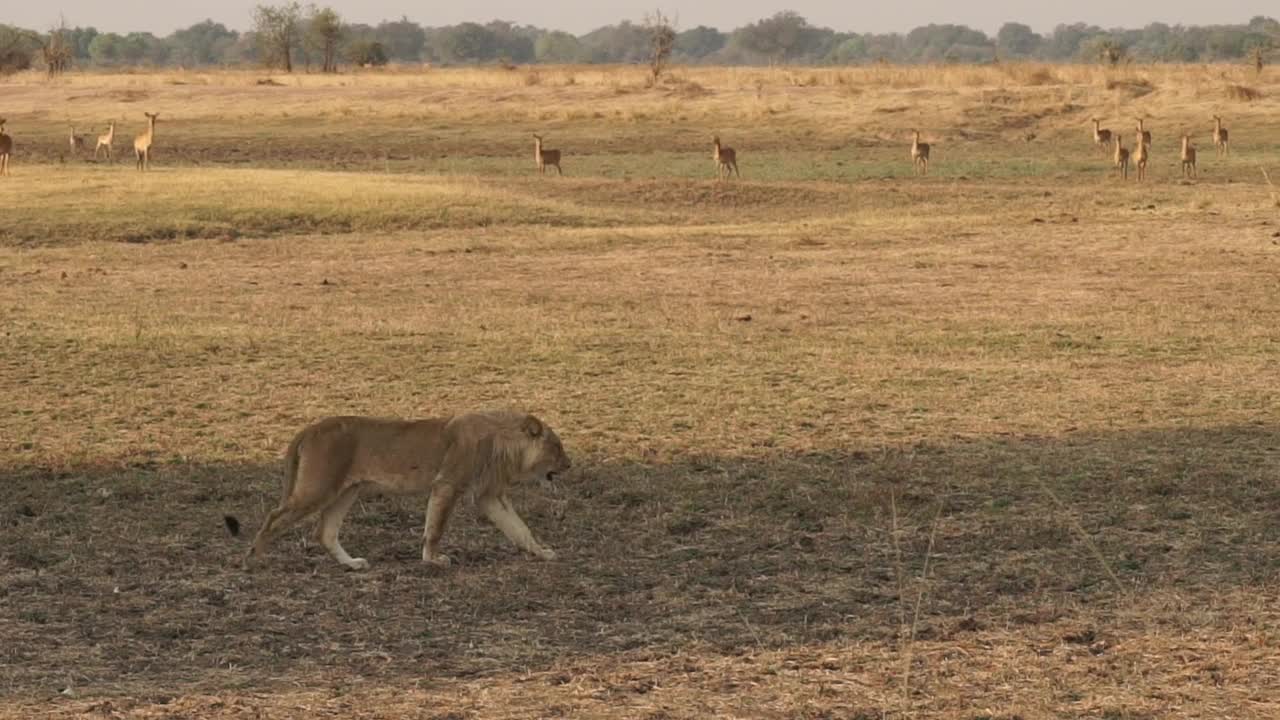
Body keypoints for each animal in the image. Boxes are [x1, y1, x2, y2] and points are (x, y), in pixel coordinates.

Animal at [229, 412, 570, 568]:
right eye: (557, 447)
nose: (569, 464)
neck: (503, 442)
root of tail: (311, 427)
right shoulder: (448, 484)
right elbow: (435, 528)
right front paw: (433, 559)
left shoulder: (489, 496)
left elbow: (520, 529)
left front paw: (542, 552)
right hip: (318, 487)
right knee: (274, 517)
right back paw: (254, 558)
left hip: (346, 491)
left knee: (324, 532)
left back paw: (352, 564)